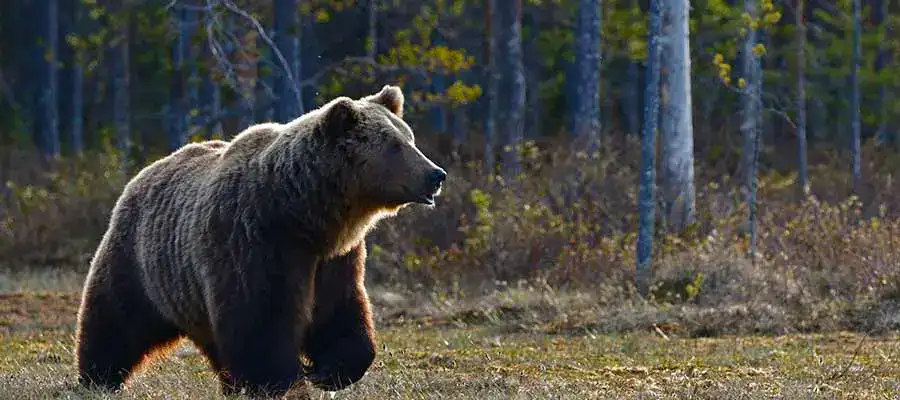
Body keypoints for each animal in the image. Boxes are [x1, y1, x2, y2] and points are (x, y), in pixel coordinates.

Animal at [74, 85, 446, 398]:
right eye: (394, 145)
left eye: (409, 138)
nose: (436, 174)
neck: (304, 214)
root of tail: (146, 171)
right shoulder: (254, 241)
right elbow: (260, 319)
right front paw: (280, 380)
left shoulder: (334, 258)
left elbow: (339, 311)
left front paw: (328, 371)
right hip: (141, 260)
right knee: (116, 317)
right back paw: (98, 377)